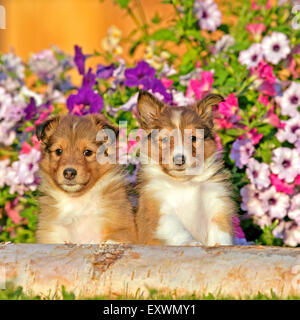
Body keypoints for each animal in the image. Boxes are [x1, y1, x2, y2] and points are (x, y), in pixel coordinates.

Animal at [35, 114, 137, 244]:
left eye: (87, 152)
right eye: (58, 151)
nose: (69, 173)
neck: (77, 200)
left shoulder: (121, 224)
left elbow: (115, 239)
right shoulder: (51, 232)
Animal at [136, 91, 237, 246]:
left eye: (193, 138)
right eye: (165, 139)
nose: (179, 160)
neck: (185, 183)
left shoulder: (217, 204)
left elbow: (220, 230)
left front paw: (220, 245)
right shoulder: (160, 211)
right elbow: (178, 229)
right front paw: (191, 243)